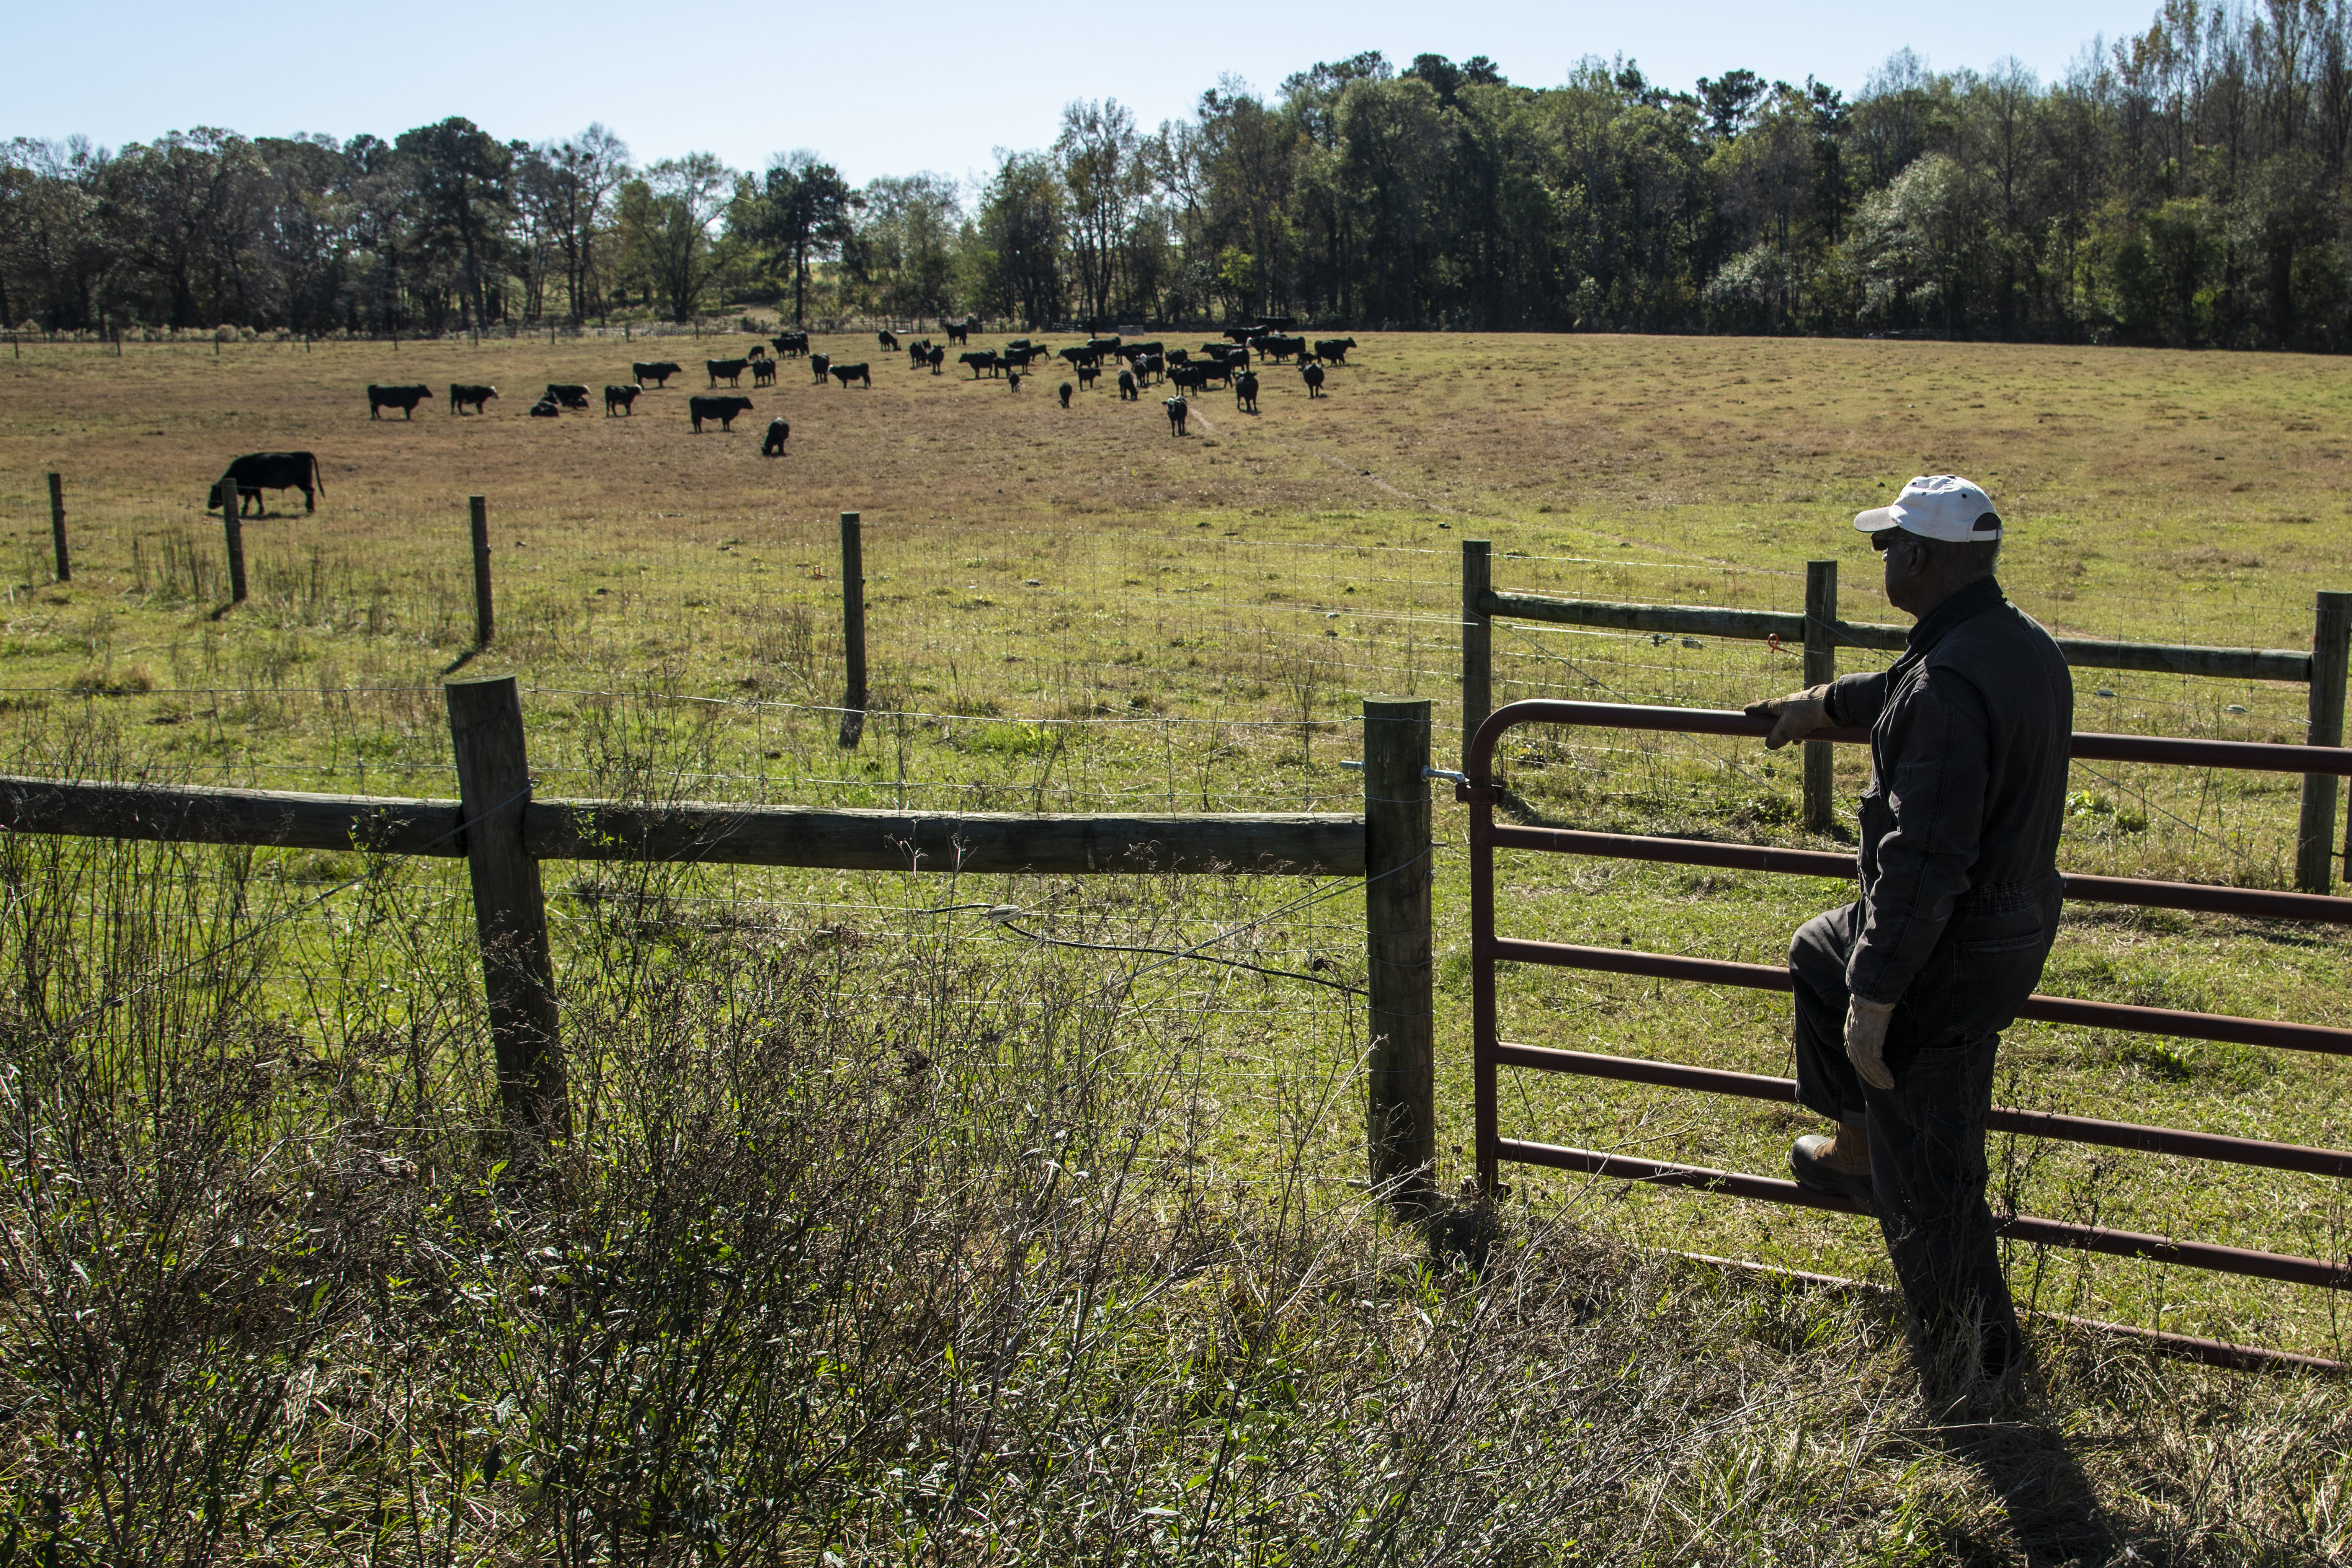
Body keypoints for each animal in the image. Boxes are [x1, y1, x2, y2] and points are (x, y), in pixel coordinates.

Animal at [207, 452, 325, 516]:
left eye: (215, 493)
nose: (209, 505)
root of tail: (303, 453)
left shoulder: (251, 488)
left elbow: (249, 499)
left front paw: (244, 512)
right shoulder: (256, 488)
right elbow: (259, 498)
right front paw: (260, 511)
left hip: (302, 483)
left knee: (310, 492)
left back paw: (310, 508)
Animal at [367, 383, 430, 419]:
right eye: (425, 389)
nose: (431, 395)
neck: (413, 391)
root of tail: (373, 386)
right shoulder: (407, 406)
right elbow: (408, 412)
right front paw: (408, 418)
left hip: (376, 403)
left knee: (375, 409)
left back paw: (377, 417)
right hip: (375, 403)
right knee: (373, 408)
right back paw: (375, 417)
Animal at [633, 360, 683, 387]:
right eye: (676, 366)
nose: (681, 370)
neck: (666, 367)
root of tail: (636, 363)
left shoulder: (660, 378)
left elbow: (661, 382)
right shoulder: (660, 378)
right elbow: (661, 382)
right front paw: (661, 386)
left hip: (640, 377)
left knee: (640, 381)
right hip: (640, 376)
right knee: (639, 381)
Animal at [689, 395, 755, 432]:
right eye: (748, 401)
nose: (753, 407)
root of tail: (694, 398)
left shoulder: (725, 417)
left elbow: (726, 424)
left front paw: (727, 429)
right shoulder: (726, 417)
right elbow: (726, 423)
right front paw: (727, 430)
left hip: (698, 416)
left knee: (697, 423)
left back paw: (698, 431)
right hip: (697, 415)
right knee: (697, 423)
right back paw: (700, 431)